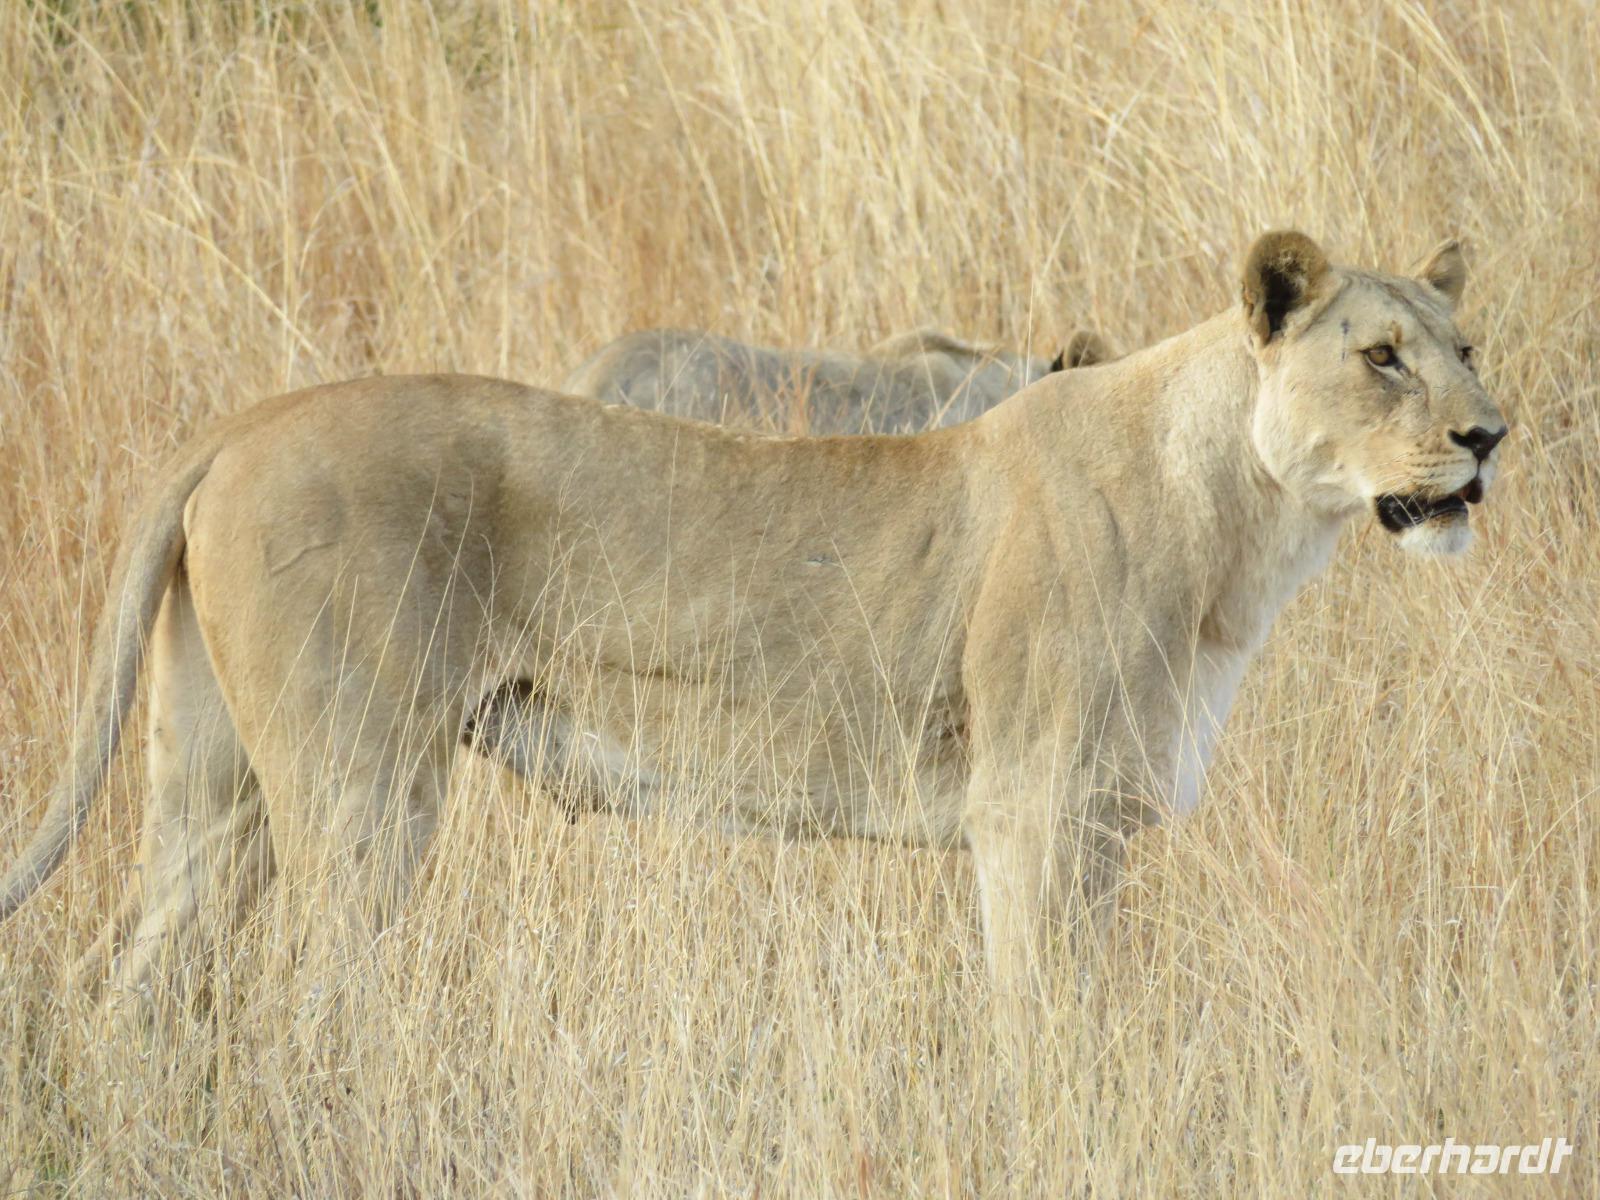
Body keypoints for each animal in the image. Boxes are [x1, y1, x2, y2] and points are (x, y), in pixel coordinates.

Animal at [1, 233, 1504, 1006]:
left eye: (1467, 347)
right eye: (1382, 357)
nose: (1490, 436)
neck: (1246, 529)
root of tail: (244, 421)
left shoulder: (1100, 820)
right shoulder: (1032, 807)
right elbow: (1045, 1027)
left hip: (214, 785)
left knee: (141, 978)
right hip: (361, 783)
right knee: (318, 993)